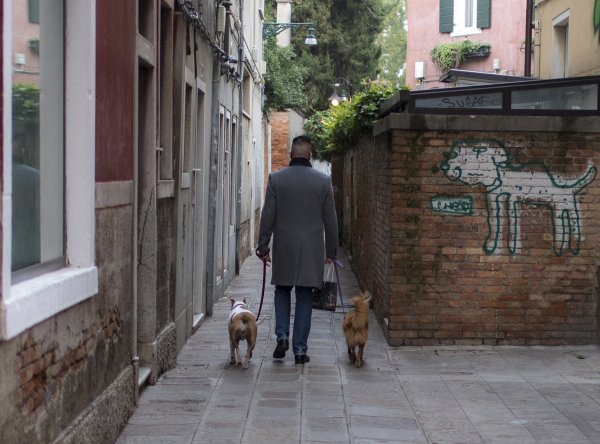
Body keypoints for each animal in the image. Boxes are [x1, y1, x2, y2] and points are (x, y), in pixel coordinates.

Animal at [440, 140, 596, 255]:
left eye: (466, 159)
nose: (446, 167)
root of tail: (569, 185)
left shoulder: (512, 198)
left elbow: (512, 221)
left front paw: (512, 247)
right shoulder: (494, 198)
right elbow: (496, 222)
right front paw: (493, 246)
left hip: (561, 206)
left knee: (566, 226)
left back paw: (563, 246)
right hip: (566, 207)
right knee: (571, 224)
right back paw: (571, 244)